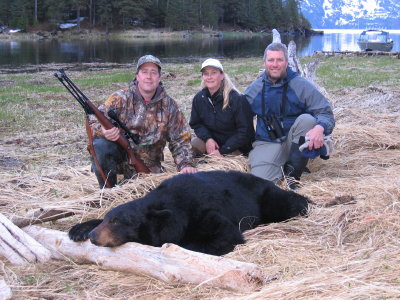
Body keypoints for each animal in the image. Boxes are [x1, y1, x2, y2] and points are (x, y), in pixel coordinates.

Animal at [69, 170, 308, 254]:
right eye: (108, 219)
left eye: (118, 222)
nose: (94, 236)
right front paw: (79, 229)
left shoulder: (204, 214)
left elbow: (224, 235)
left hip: (268, 198)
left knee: (292, 203)